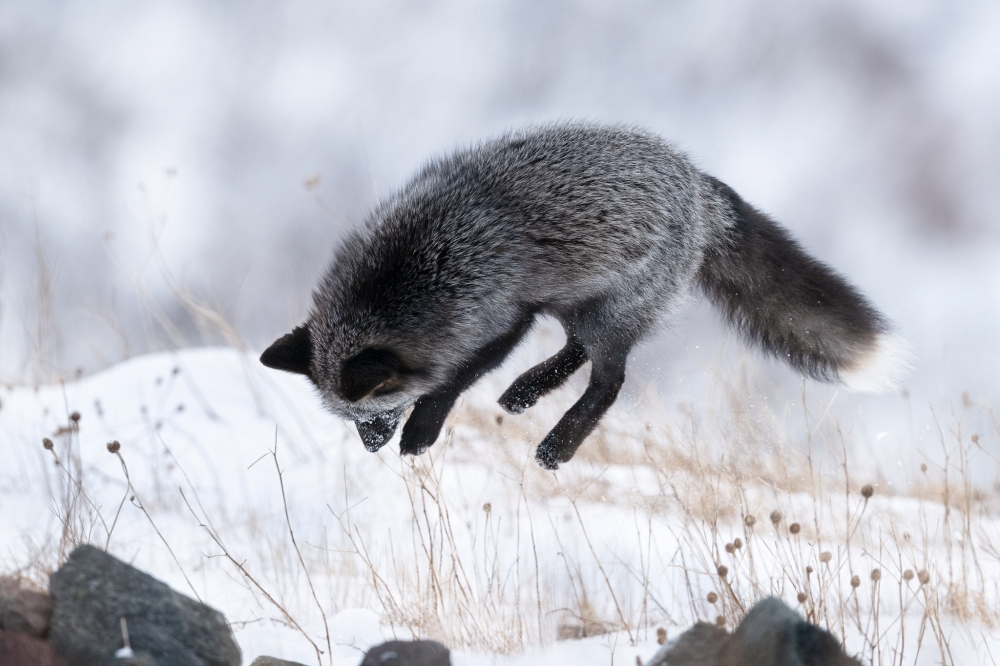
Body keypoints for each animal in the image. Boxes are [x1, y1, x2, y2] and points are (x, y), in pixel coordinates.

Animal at [262, 123, 912, 466]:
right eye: (346, 418)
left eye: (375, 412)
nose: (370, 447)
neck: (421, 262)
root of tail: (699, 185)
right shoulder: (521, 310)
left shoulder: (502, 316)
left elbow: (453, 379)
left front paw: (422, 434)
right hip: (577, 303)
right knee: (577, 352)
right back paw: (524, 395)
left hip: (609, 314)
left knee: (609, 381)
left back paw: (556, 446)